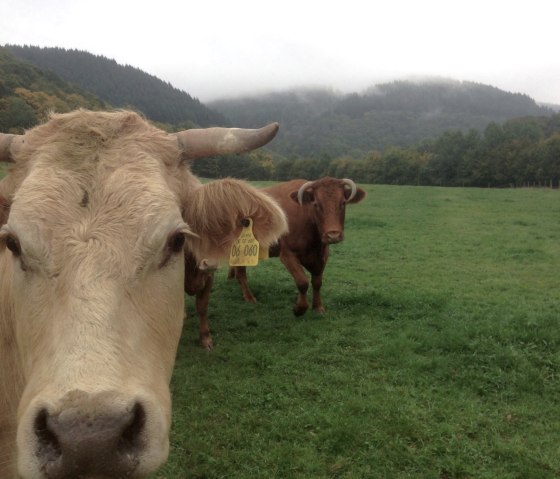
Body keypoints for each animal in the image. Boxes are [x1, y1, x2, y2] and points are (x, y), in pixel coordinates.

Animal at [230, 178, 366, 316]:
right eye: (316, 204)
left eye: (343, 203)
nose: (333, 235)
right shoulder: (287, 254)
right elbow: (303, 282)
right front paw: (299, 308)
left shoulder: (322, 255)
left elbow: (317, 283)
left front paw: (318, 307)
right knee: (241, 272)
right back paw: (249, 297)